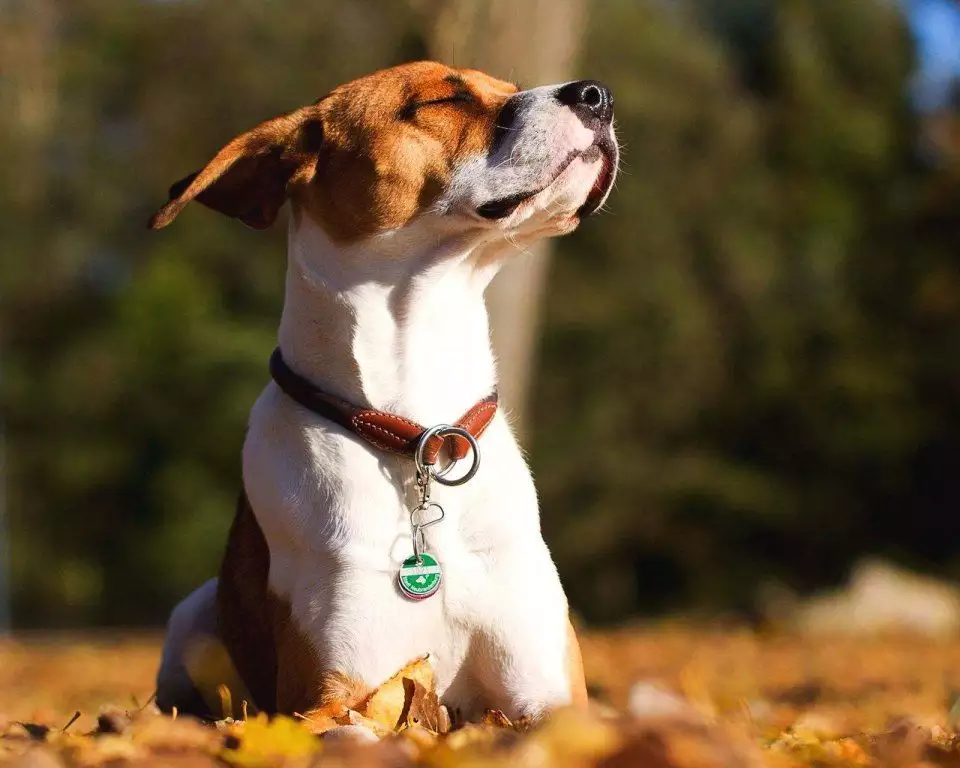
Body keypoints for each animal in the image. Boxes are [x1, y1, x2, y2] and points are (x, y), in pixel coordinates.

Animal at [150, 61, 616, 728]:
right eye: (440, 99)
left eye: (508, 86)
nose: (596, 95)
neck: (419, 430)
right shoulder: (331, 698)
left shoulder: (552, 696)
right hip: (191, 619)